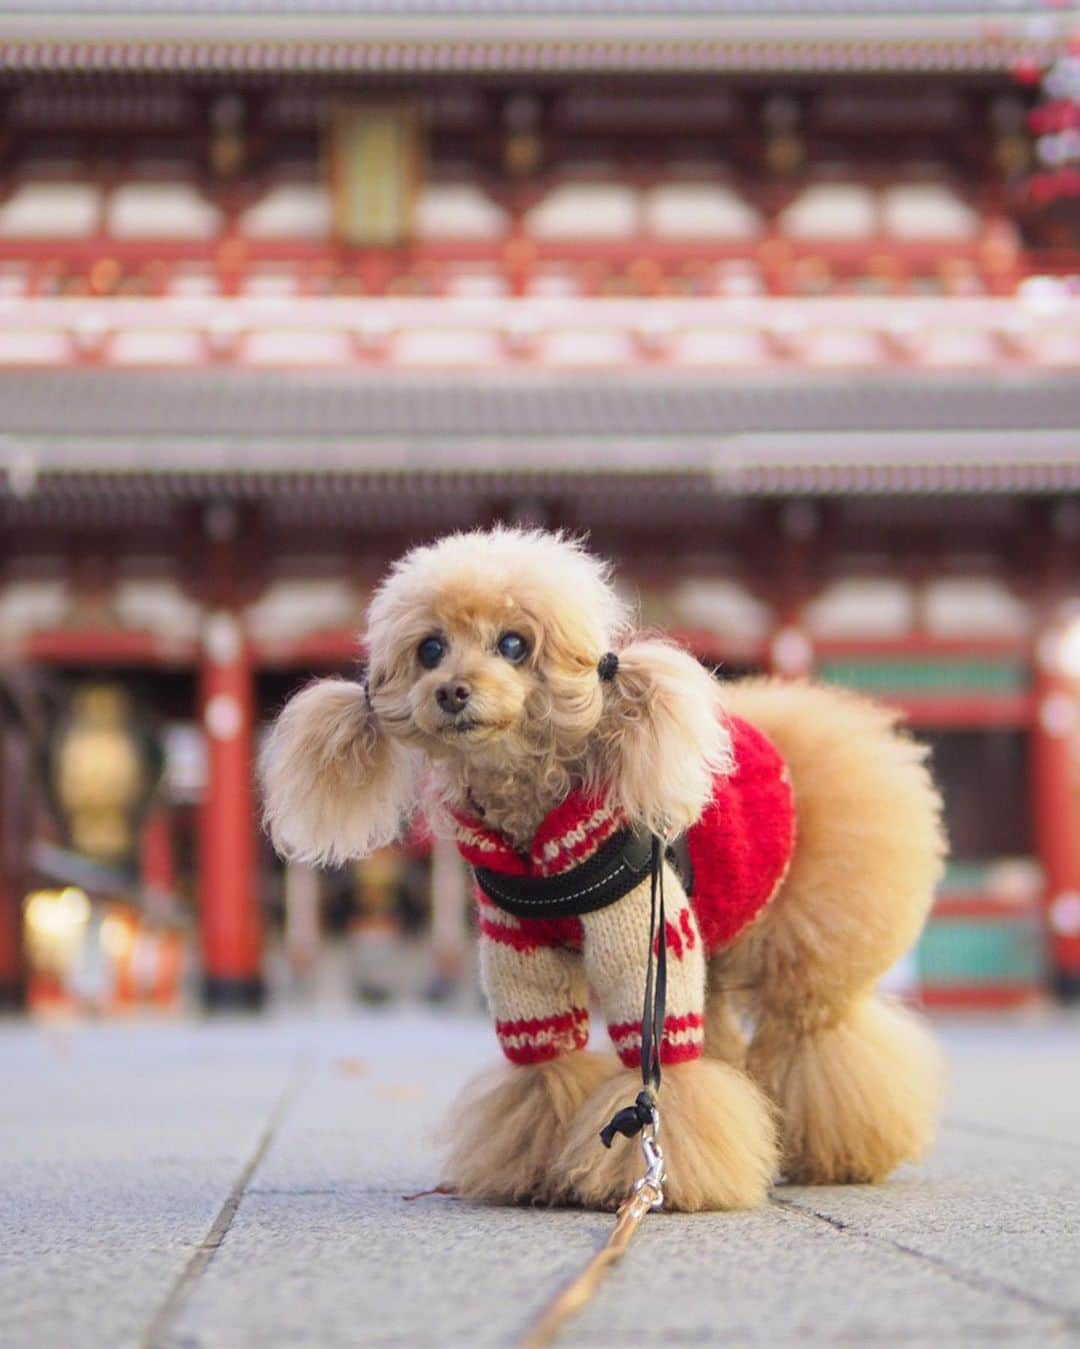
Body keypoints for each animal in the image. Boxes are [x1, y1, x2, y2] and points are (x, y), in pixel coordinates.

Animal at [261, 526, 943, 1214]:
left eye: (514, 644)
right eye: (430, 649)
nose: (450, 691)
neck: (537, 826)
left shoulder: (642, 943)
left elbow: (662, 1079)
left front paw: (668, 1176)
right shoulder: (520, 954)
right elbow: (544, 1069)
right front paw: (535, 1171)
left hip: (799, 952)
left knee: (818, 1037)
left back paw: (838, 1152)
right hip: (714, 946)